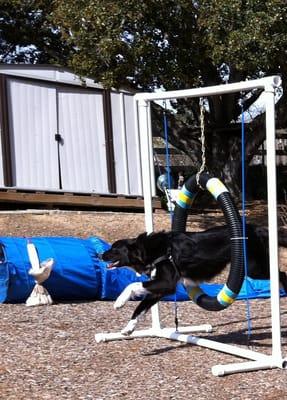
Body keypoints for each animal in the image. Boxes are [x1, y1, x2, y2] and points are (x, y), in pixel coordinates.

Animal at [102, 225, 287, 334]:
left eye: (114, 249)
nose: (100, 255)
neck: (150, 250)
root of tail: (257, 229)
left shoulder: (166, 283)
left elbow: (133, 285)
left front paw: (119, 302)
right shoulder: (160, 290)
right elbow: (140, 307)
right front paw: (129, 327)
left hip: (254, 268)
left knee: (282, 274)